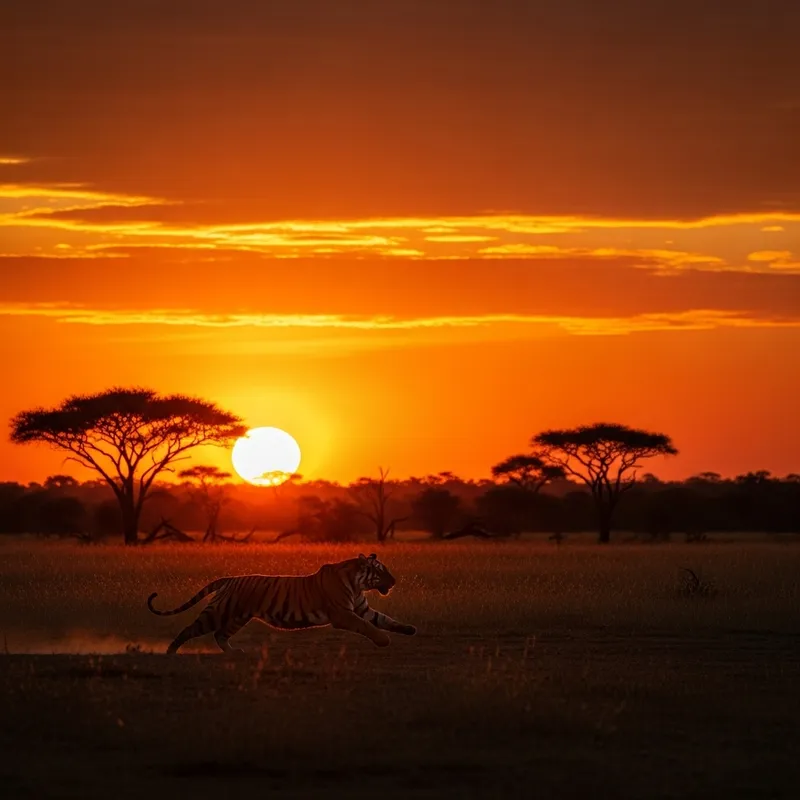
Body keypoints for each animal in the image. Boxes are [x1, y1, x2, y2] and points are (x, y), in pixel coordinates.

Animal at [146, 552, 417, 654]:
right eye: (380, 571)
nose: (394, 581)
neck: (358, 583)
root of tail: (231, 578)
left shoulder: (363, 608)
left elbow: (385, 620)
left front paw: (409, 629)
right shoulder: (343, 614)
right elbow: (367, 626)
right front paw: (384, 641)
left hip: (237, 618)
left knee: (220, 635)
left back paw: (235, 652)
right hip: (219, 613)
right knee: (189, 629)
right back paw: (170, 652)